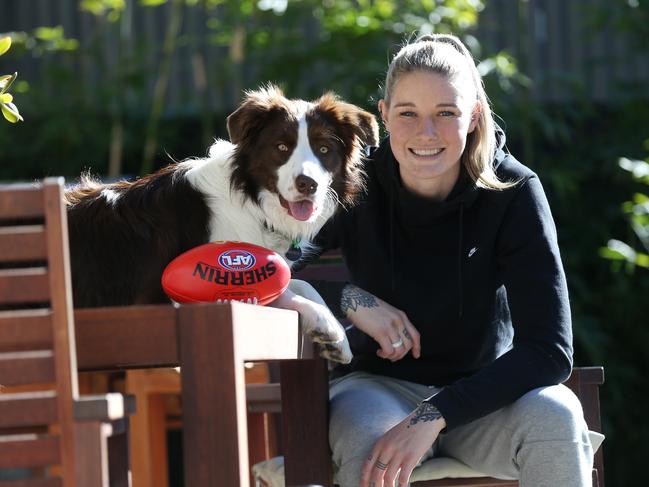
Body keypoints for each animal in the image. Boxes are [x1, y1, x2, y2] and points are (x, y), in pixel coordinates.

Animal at [64, 86, 380, 364]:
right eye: (281, 147)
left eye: (324, 149)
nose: (308, 184)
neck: (253, 204)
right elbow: (282, 290)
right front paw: (330, 327)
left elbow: (301, 283)